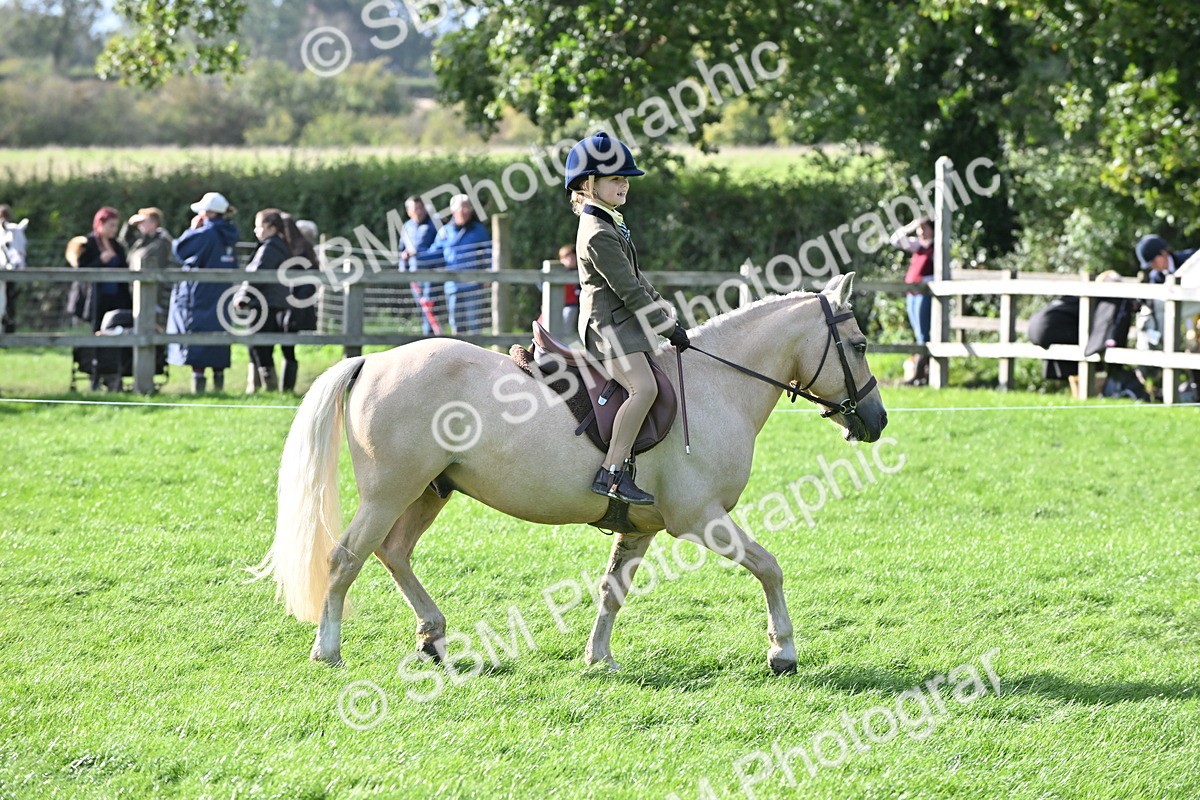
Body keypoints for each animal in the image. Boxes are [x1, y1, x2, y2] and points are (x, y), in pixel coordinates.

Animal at [253, 272, 887, 675]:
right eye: (858, 343)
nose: (876, 420)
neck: (716, 386)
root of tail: (374, 360)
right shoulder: (700, 519)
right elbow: (769, 568)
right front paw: (783, 653)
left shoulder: (641, 528)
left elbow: (612, 590)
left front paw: (599, 658)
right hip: (390, 492)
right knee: (346, 558)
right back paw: (328, 651)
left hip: (431, 491)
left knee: (394, 552)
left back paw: (433, 636)